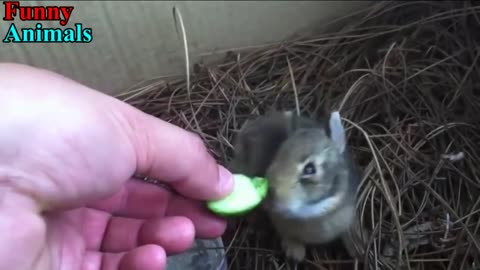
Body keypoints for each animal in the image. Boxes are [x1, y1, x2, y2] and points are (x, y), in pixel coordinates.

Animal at [229, 109, 364, 264]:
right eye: (278, 153)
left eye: (310, 169)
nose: (271, 193)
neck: (311, 213)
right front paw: (295, 253)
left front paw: (357, 247)